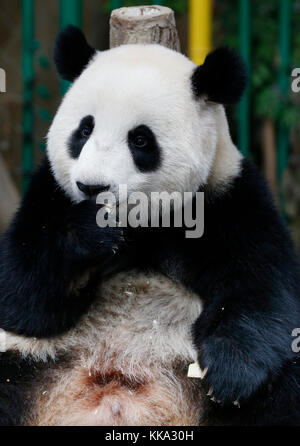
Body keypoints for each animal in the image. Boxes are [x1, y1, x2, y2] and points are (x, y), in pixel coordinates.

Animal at [0, 23, 300, 426]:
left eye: (140, 139)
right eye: (84, 130)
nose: (91, 187)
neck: (142, 227)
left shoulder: (229, 199)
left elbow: (262, 289)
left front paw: (230, 375)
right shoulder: (49, 193)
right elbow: (21, 293)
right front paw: (92, 231)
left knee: (285, 387)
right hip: (26, 364)